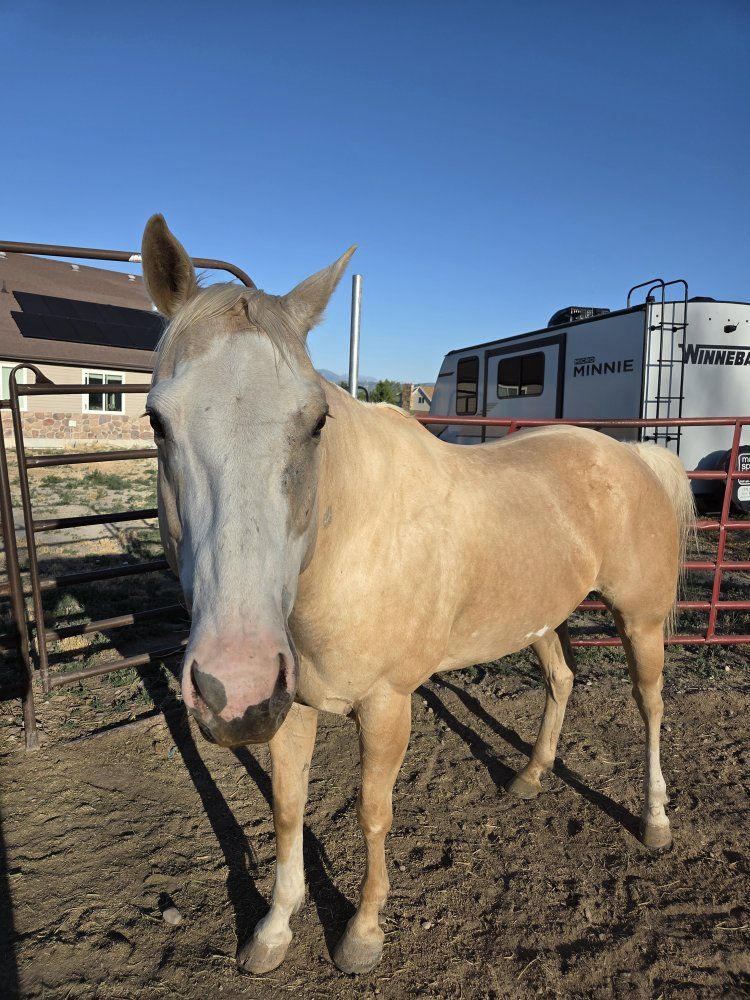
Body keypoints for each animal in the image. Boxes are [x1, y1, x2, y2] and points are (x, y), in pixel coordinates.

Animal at [141, 215, 695, 977]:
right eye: (157, 420)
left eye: (316, 420)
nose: (236, 685)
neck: (346, 546)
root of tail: (632, 455)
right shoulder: (291, 707)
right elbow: (286, 809)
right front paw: (274, 930)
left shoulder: (386, 705)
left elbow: (374, 813)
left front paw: (363, 934)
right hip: (539, 617)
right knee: (561, 679)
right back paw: (530, 777)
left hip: (640, 621)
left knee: (651, 707)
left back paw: (656, 820)